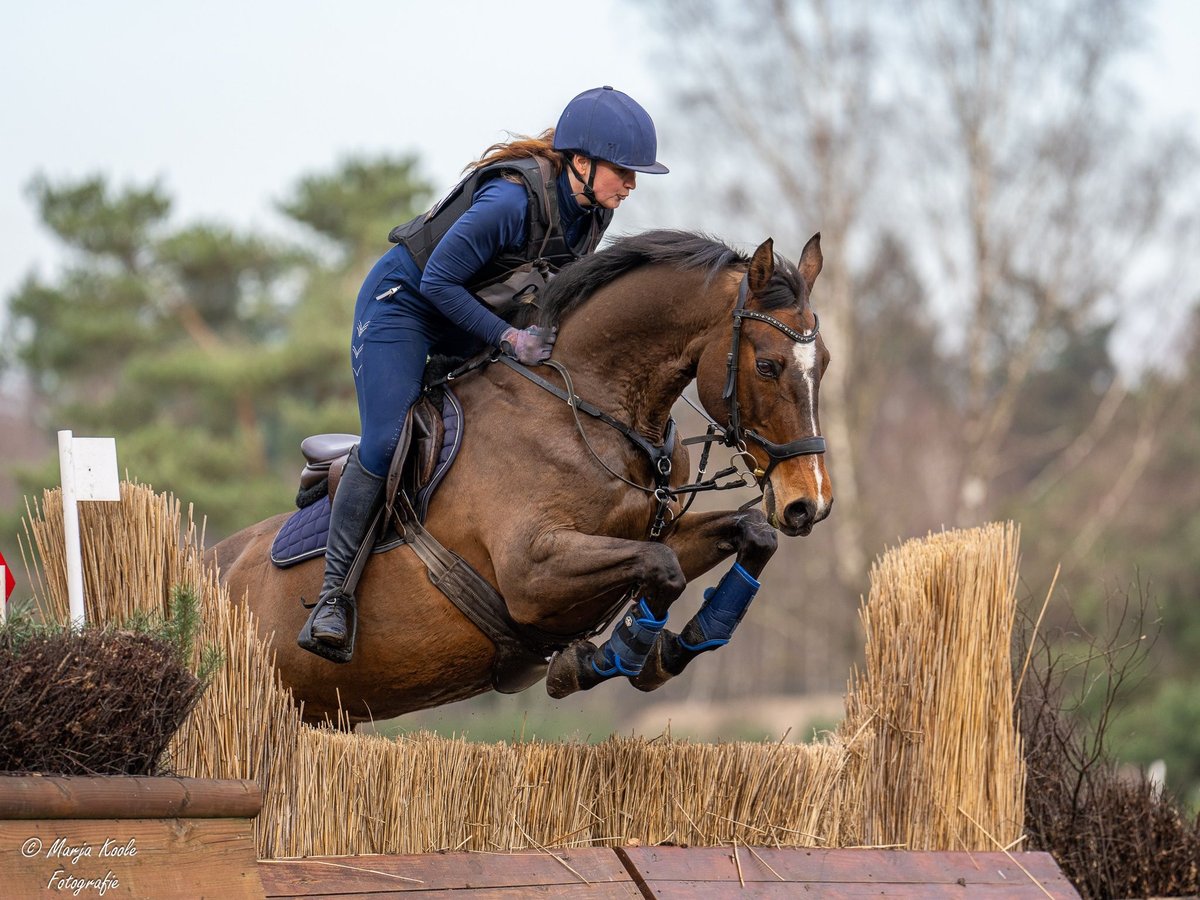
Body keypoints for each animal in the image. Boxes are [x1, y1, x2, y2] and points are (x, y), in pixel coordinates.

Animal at [208, 230, 835, 724]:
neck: (588, 411)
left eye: (824, 363)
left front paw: (680, 646)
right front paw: (607, 659)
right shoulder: (532, 573)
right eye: (767, 366)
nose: (810, 503)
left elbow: (751, 536)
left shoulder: (649, 534)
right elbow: (663, 568)